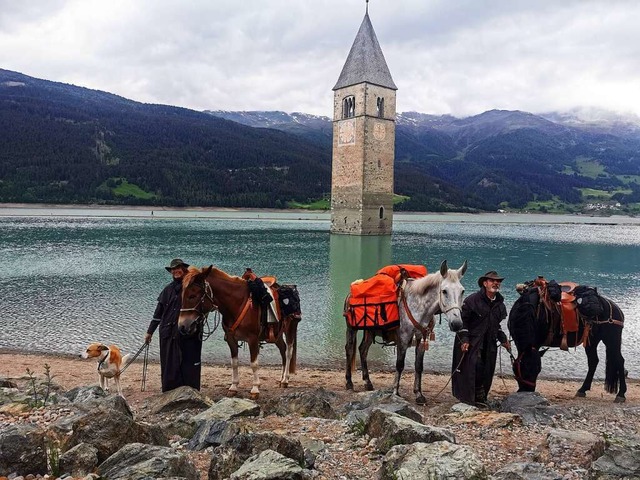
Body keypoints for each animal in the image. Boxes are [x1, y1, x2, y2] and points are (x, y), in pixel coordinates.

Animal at [178, 266, 300, 398]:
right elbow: (234, 362)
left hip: (290, 329)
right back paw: (281, 379)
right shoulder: (231, 339)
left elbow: (254, 363)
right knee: (283, 350)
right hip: (277, 335)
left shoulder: (253, 339)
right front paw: (233, 387)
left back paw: (285, 379)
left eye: (192, 295)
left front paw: (255, 389)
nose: (182, 325)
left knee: (288, 352)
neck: (236, 304)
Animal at [348, 260, 468, 404]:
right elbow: (399, 365)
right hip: (352, 329)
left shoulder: (422, 339)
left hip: (369, 332)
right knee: (350, 350)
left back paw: (368, 382)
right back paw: (349, 383)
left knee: (363, 350)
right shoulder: (403, 339)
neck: (418, 307)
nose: (457, 324)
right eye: (444, 291)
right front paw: (395, 392)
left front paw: (419, 394)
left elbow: (419, 366)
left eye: (462, 291)